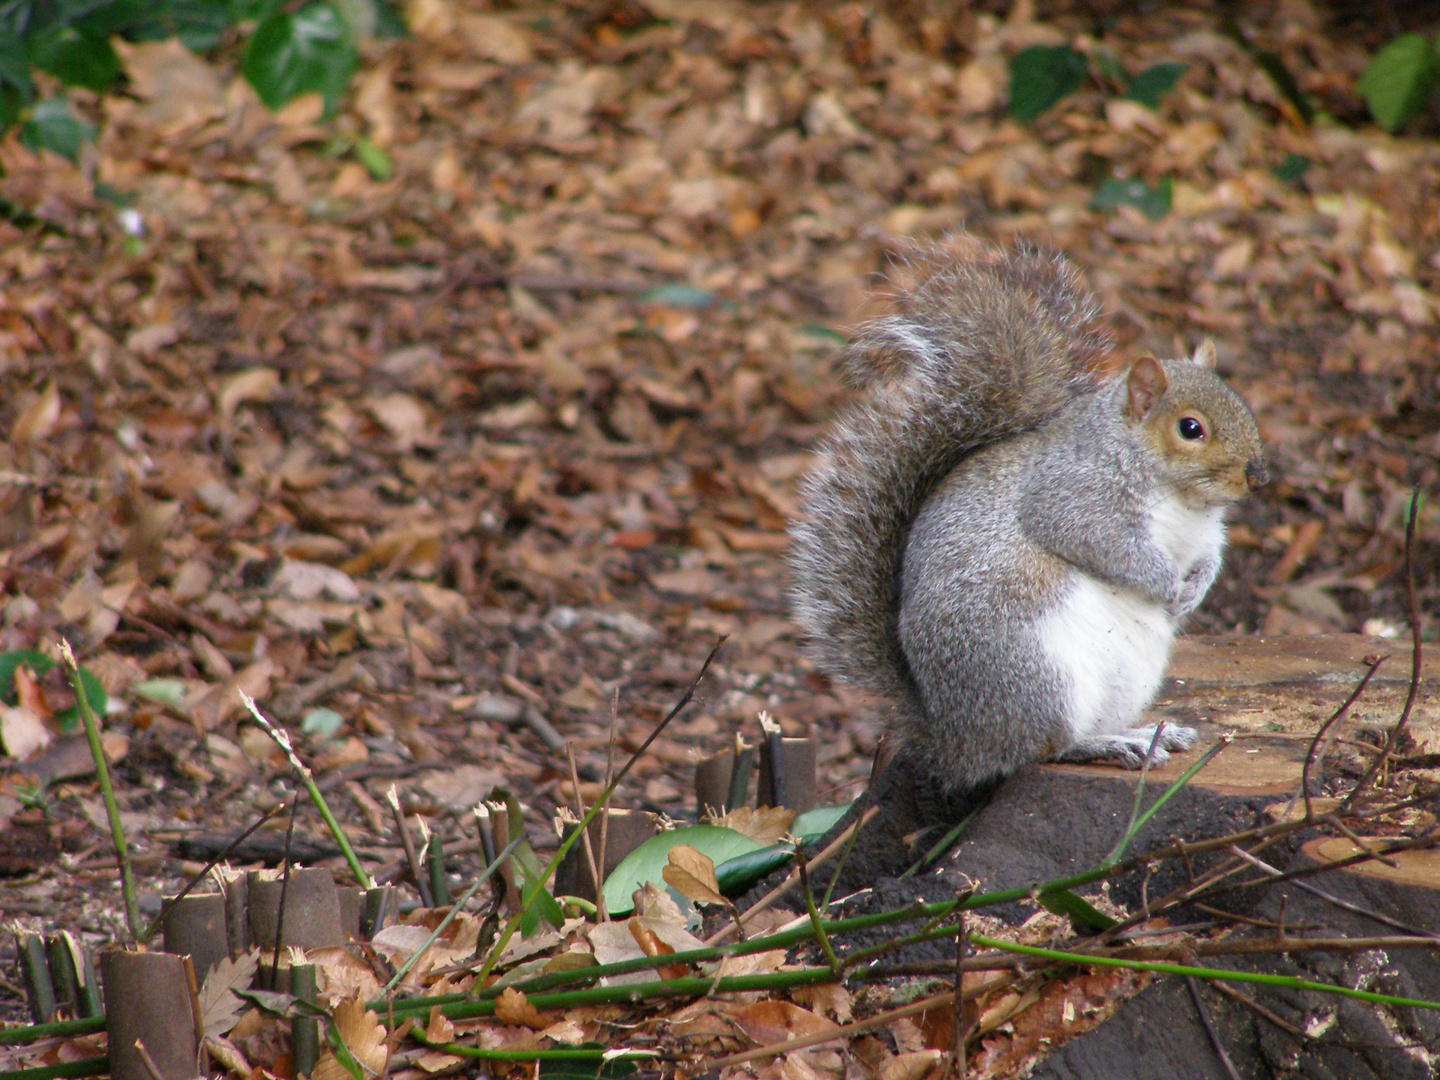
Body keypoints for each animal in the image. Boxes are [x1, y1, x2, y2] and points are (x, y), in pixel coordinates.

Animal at [789, 243, 1272, 794]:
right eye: (1190, 428)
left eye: (1242, 405)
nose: (1259, 476)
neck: (1181, 495)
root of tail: (955, 742)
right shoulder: (1072, 497)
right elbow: (1107, 545)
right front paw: (1167, 584)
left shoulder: (1204, 532)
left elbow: (1210, 555)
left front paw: (1194, 589)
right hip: (1036, 672)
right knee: (1040, 748)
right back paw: (1108, 744)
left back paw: (1147, 733)